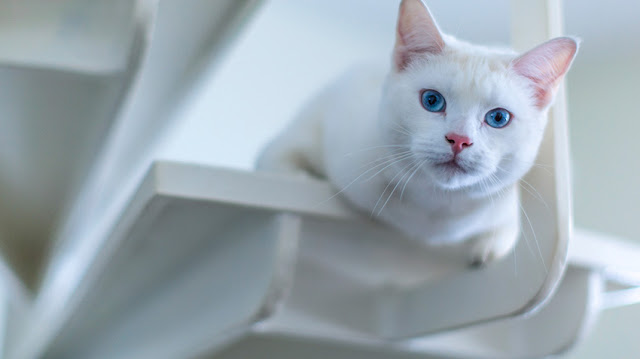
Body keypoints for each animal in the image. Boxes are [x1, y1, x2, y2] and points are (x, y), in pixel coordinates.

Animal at [256, 0, 580, 264]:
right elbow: (277, 159)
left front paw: (487, 247)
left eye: (498, 117)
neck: (431, 214)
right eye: (432, 100)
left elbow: (504, 230)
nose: (459, 139)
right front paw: (297, 175)